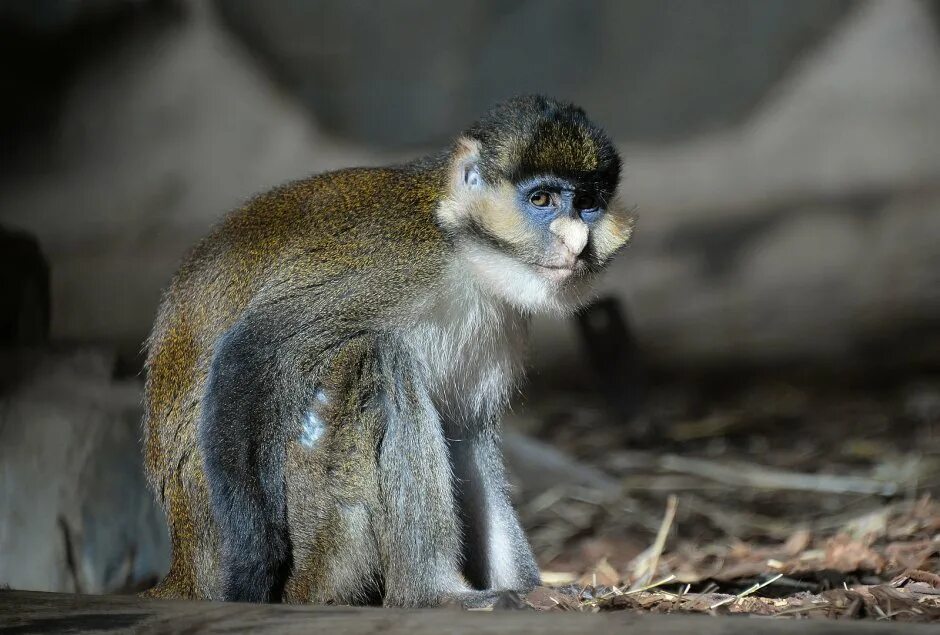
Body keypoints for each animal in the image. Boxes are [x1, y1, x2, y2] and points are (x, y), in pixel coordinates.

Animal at [141, 93, 632, 608]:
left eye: (588, 205)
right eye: (542, 200)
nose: (577, 243)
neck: (464, 252)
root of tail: (187, 561)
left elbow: (468, 432)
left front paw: (531, 588)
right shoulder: (394, 263)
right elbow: (252, 350)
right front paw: (254, 565)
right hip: (315, 530)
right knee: (379, 356)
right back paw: (429, 592)